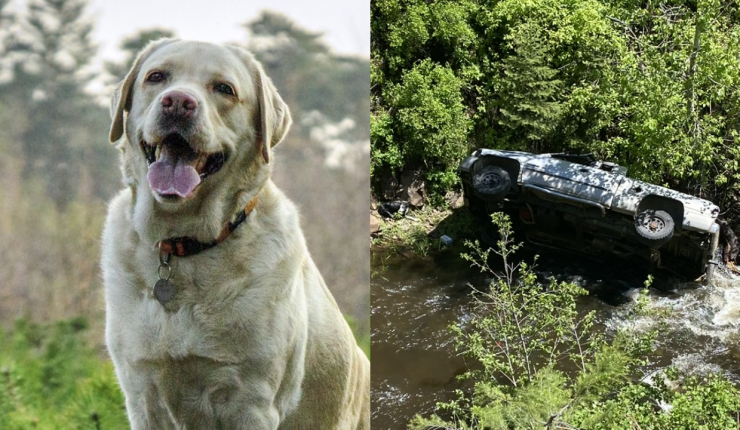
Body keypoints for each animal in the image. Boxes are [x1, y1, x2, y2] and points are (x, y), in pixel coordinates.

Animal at [102, 38, 368, 428]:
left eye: (224, 89)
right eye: (156, 77)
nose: (178, 102)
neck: (184, 245)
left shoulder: (251, 400)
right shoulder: (142, 394)